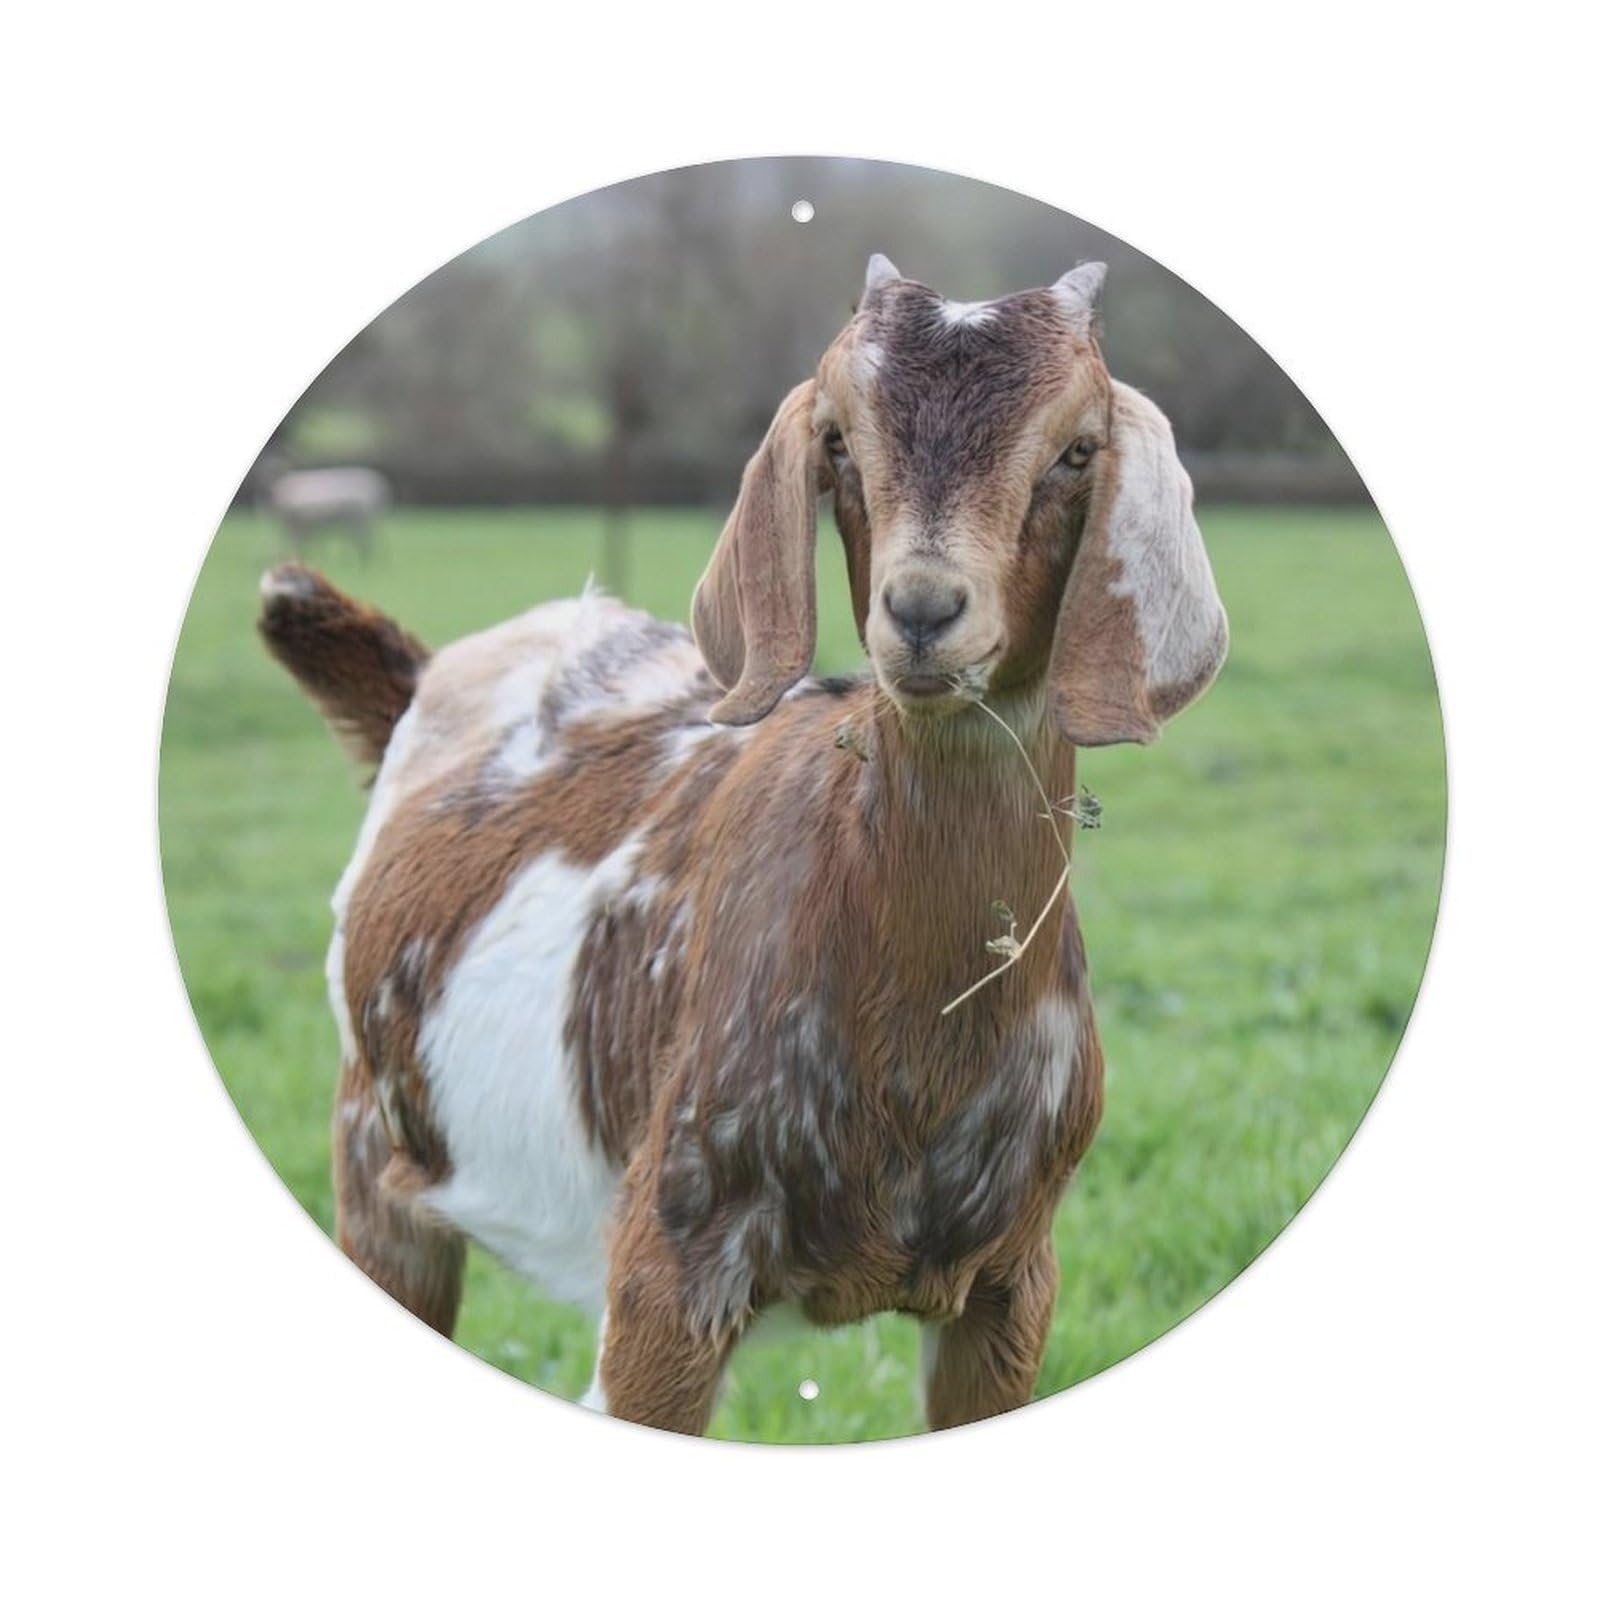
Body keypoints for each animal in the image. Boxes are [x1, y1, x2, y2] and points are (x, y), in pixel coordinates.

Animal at [259, 256, 1227, 1435]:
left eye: (1077, 449)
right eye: (839, 441)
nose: (923, 610)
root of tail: (426, 675)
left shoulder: (1013, 1282)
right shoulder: (667, 1263)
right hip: (375, 1151)